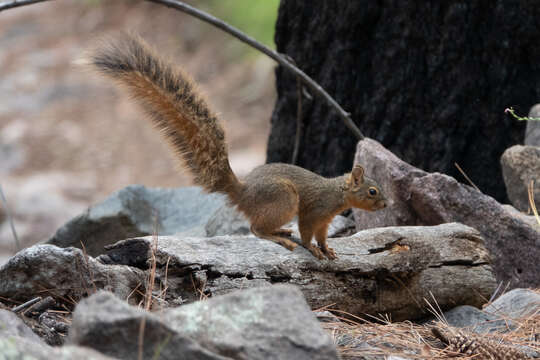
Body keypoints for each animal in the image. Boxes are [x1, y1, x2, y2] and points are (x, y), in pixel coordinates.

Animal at [86, 33, 386, 258]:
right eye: (372, 191)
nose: (385, 204)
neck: (337, 192)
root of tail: (243, 193)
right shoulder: (314, 212)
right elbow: (306, 231)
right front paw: (312, 249)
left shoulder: (325, 222)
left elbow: (323, 237)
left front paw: (327, 250)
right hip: (284, 200)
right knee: (255, 229)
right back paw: (280, 238)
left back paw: (281, 232)